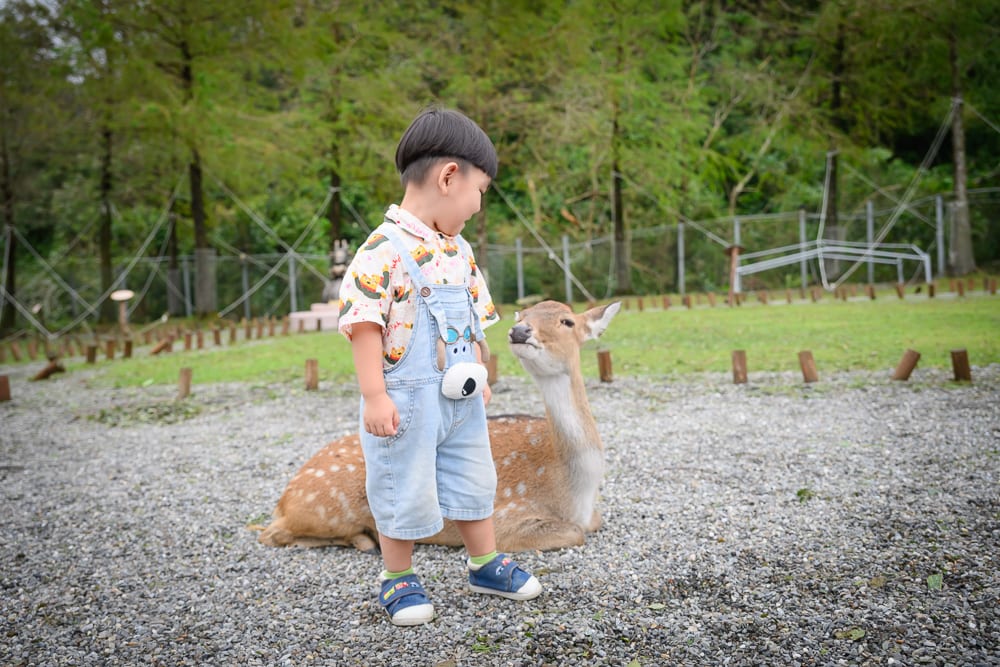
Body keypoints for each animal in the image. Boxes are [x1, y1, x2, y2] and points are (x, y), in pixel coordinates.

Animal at [255, 299, 621, 553]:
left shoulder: (591, 515)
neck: (575, 493)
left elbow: (595, 522)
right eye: (523, 316)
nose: (519, 332)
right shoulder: (509, 518)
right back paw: (368, 539)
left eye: (567, 320)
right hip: (326, 509)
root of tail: (283, 500)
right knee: (271, 533)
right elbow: (574, 534)